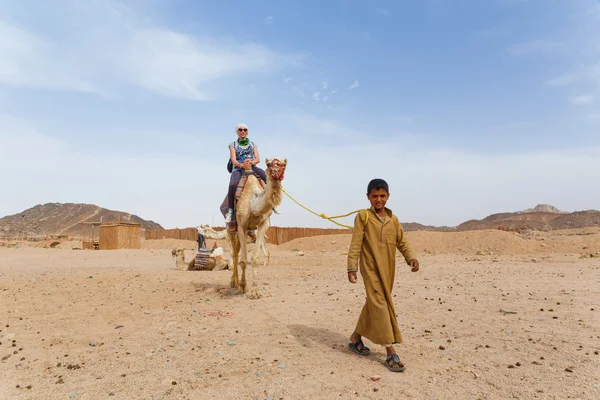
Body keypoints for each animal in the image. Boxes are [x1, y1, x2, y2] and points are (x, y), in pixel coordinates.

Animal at [221, 158, 288, 298]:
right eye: (269, 164)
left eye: (284, 164)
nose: (277, 171)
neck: (253, 205)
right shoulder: (241, 226)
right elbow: (243, 260)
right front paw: (242, 287)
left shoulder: (263, 225)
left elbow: (255, 258)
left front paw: (255, 291)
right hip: (230, 230)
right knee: (234, 254)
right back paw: (234, 282)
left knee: (237, 251)